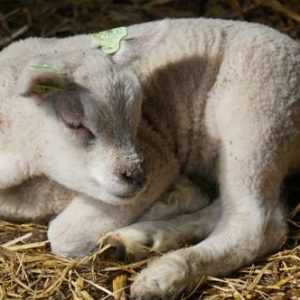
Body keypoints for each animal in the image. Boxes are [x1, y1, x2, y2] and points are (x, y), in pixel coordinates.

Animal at [0, 18, 300, 300]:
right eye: (74, 123)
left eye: (136, 117)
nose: (136, 179)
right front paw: (177, 197)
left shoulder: (158, 158)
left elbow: (62, 233)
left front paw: (173, 198)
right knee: (227, 209)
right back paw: (142, 239)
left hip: (256, 115)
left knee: (256, 223)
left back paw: (166, 273)